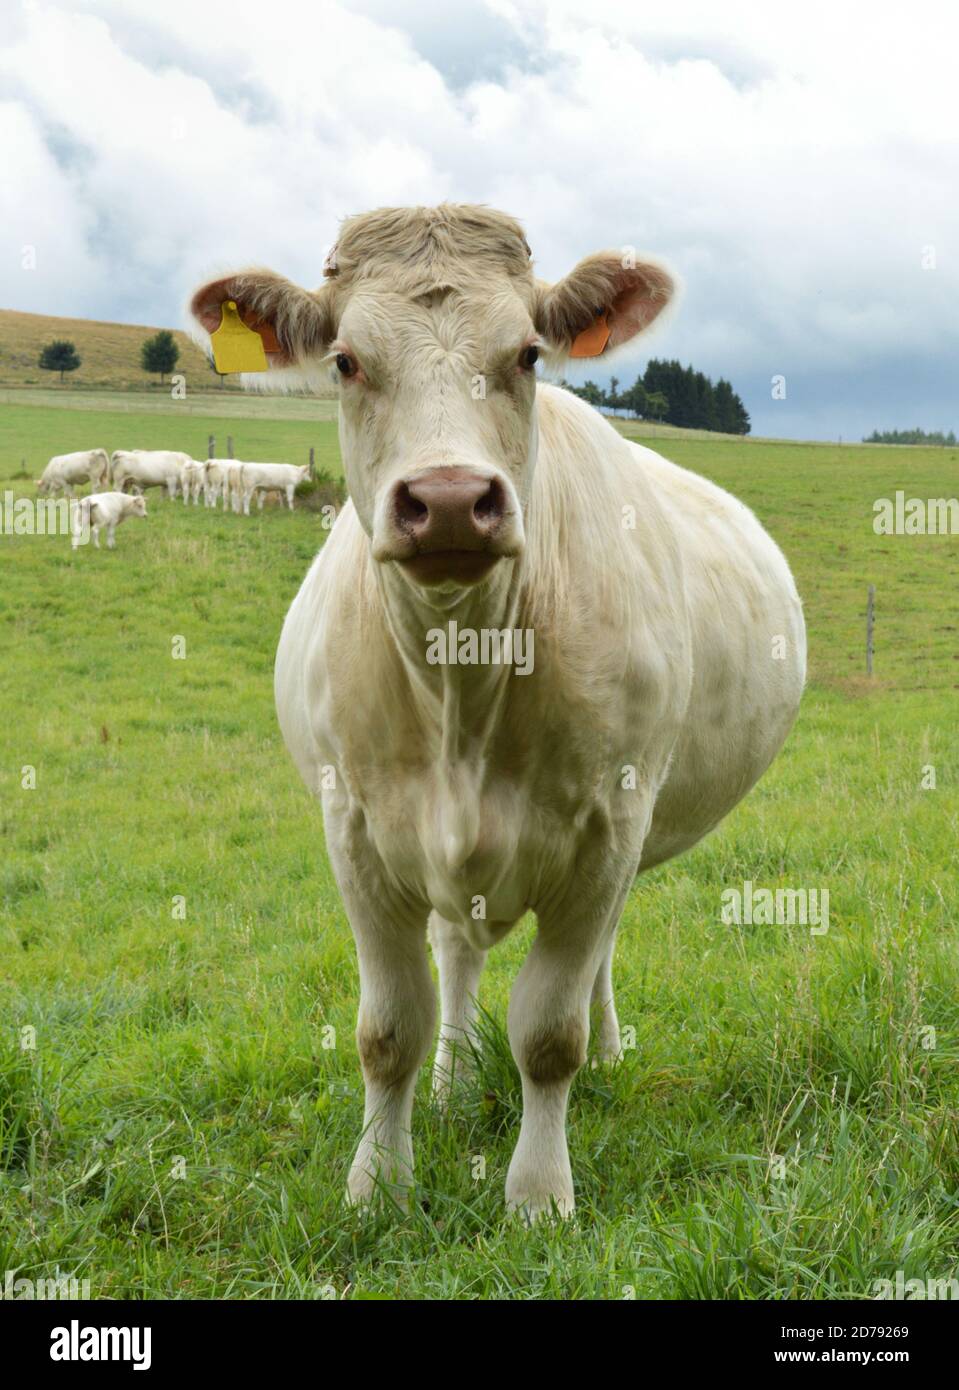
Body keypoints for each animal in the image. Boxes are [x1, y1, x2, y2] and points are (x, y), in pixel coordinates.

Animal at [190, 203, 806, 1221]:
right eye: (346, 361)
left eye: (525, 354)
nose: (447, 501)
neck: (460, 686)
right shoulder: (355, 832)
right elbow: (388, 1027)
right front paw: (379, 1184)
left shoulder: (607, 826)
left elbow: (547, 1031)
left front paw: (538, 1194)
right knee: (456, 954)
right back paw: (449, 1081)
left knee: (595, 956)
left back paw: (607, 1051)